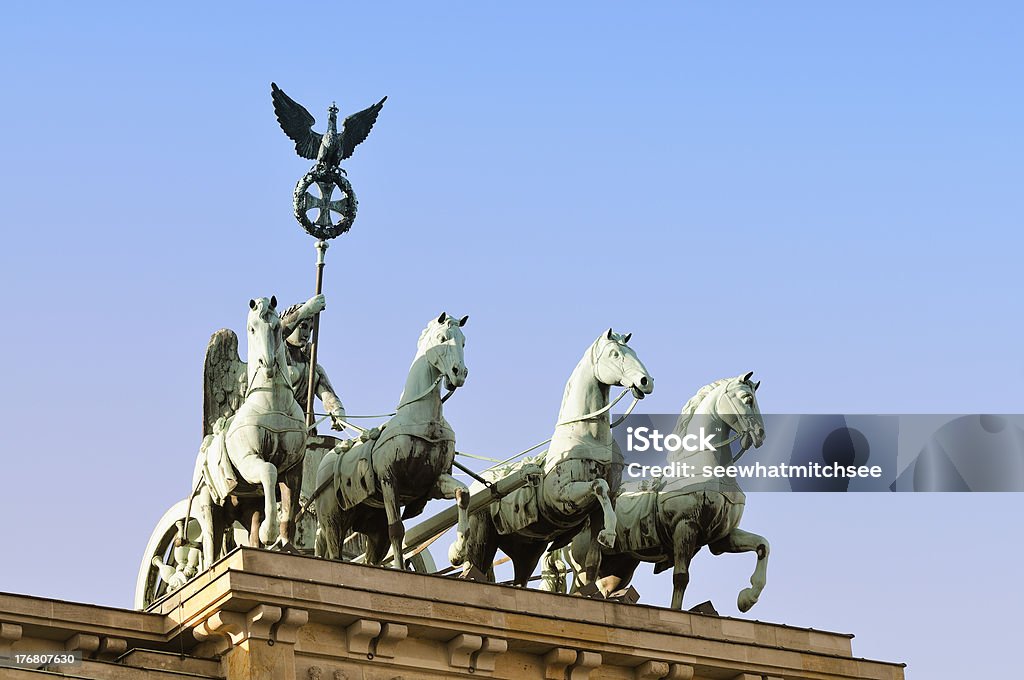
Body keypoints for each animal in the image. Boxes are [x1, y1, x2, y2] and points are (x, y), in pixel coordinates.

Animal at [450, 329, 655, 585]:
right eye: (614, 354)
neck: (587, 436)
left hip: (527, 550)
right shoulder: (562, 497)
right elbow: (599, 485)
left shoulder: (597, 512)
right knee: (473, 565)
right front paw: (609, 534)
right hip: (482, 537)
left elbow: (592, 562)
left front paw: (606, 536)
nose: (646, 381)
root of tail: (478, 486)